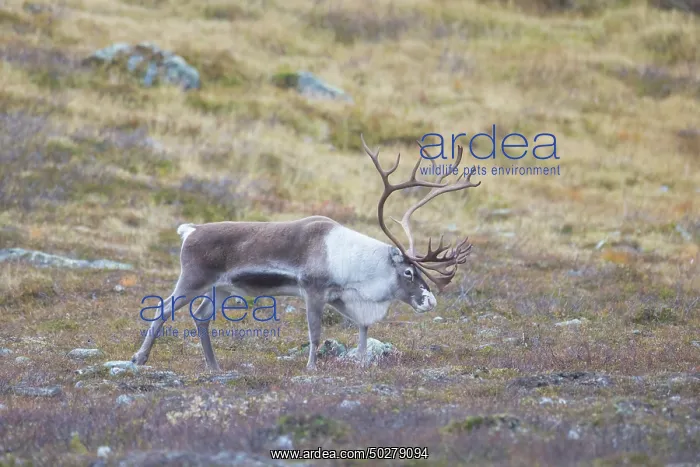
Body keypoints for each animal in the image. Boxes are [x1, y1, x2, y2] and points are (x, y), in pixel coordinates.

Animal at [131, 134, 481, 371]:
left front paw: (362, 361)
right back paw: (139, 357)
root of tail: (190, 231)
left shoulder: (341, 297)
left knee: (201, 317)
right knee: (162, 309)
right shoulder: (313, 291)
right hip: (193, 279)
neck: (357, 264)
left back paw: (214, 367)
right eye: (409, 272)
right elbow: (315, 333)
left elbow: (363, 326)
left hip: (221, 289)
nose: (430, 300)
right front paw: (312, 367)